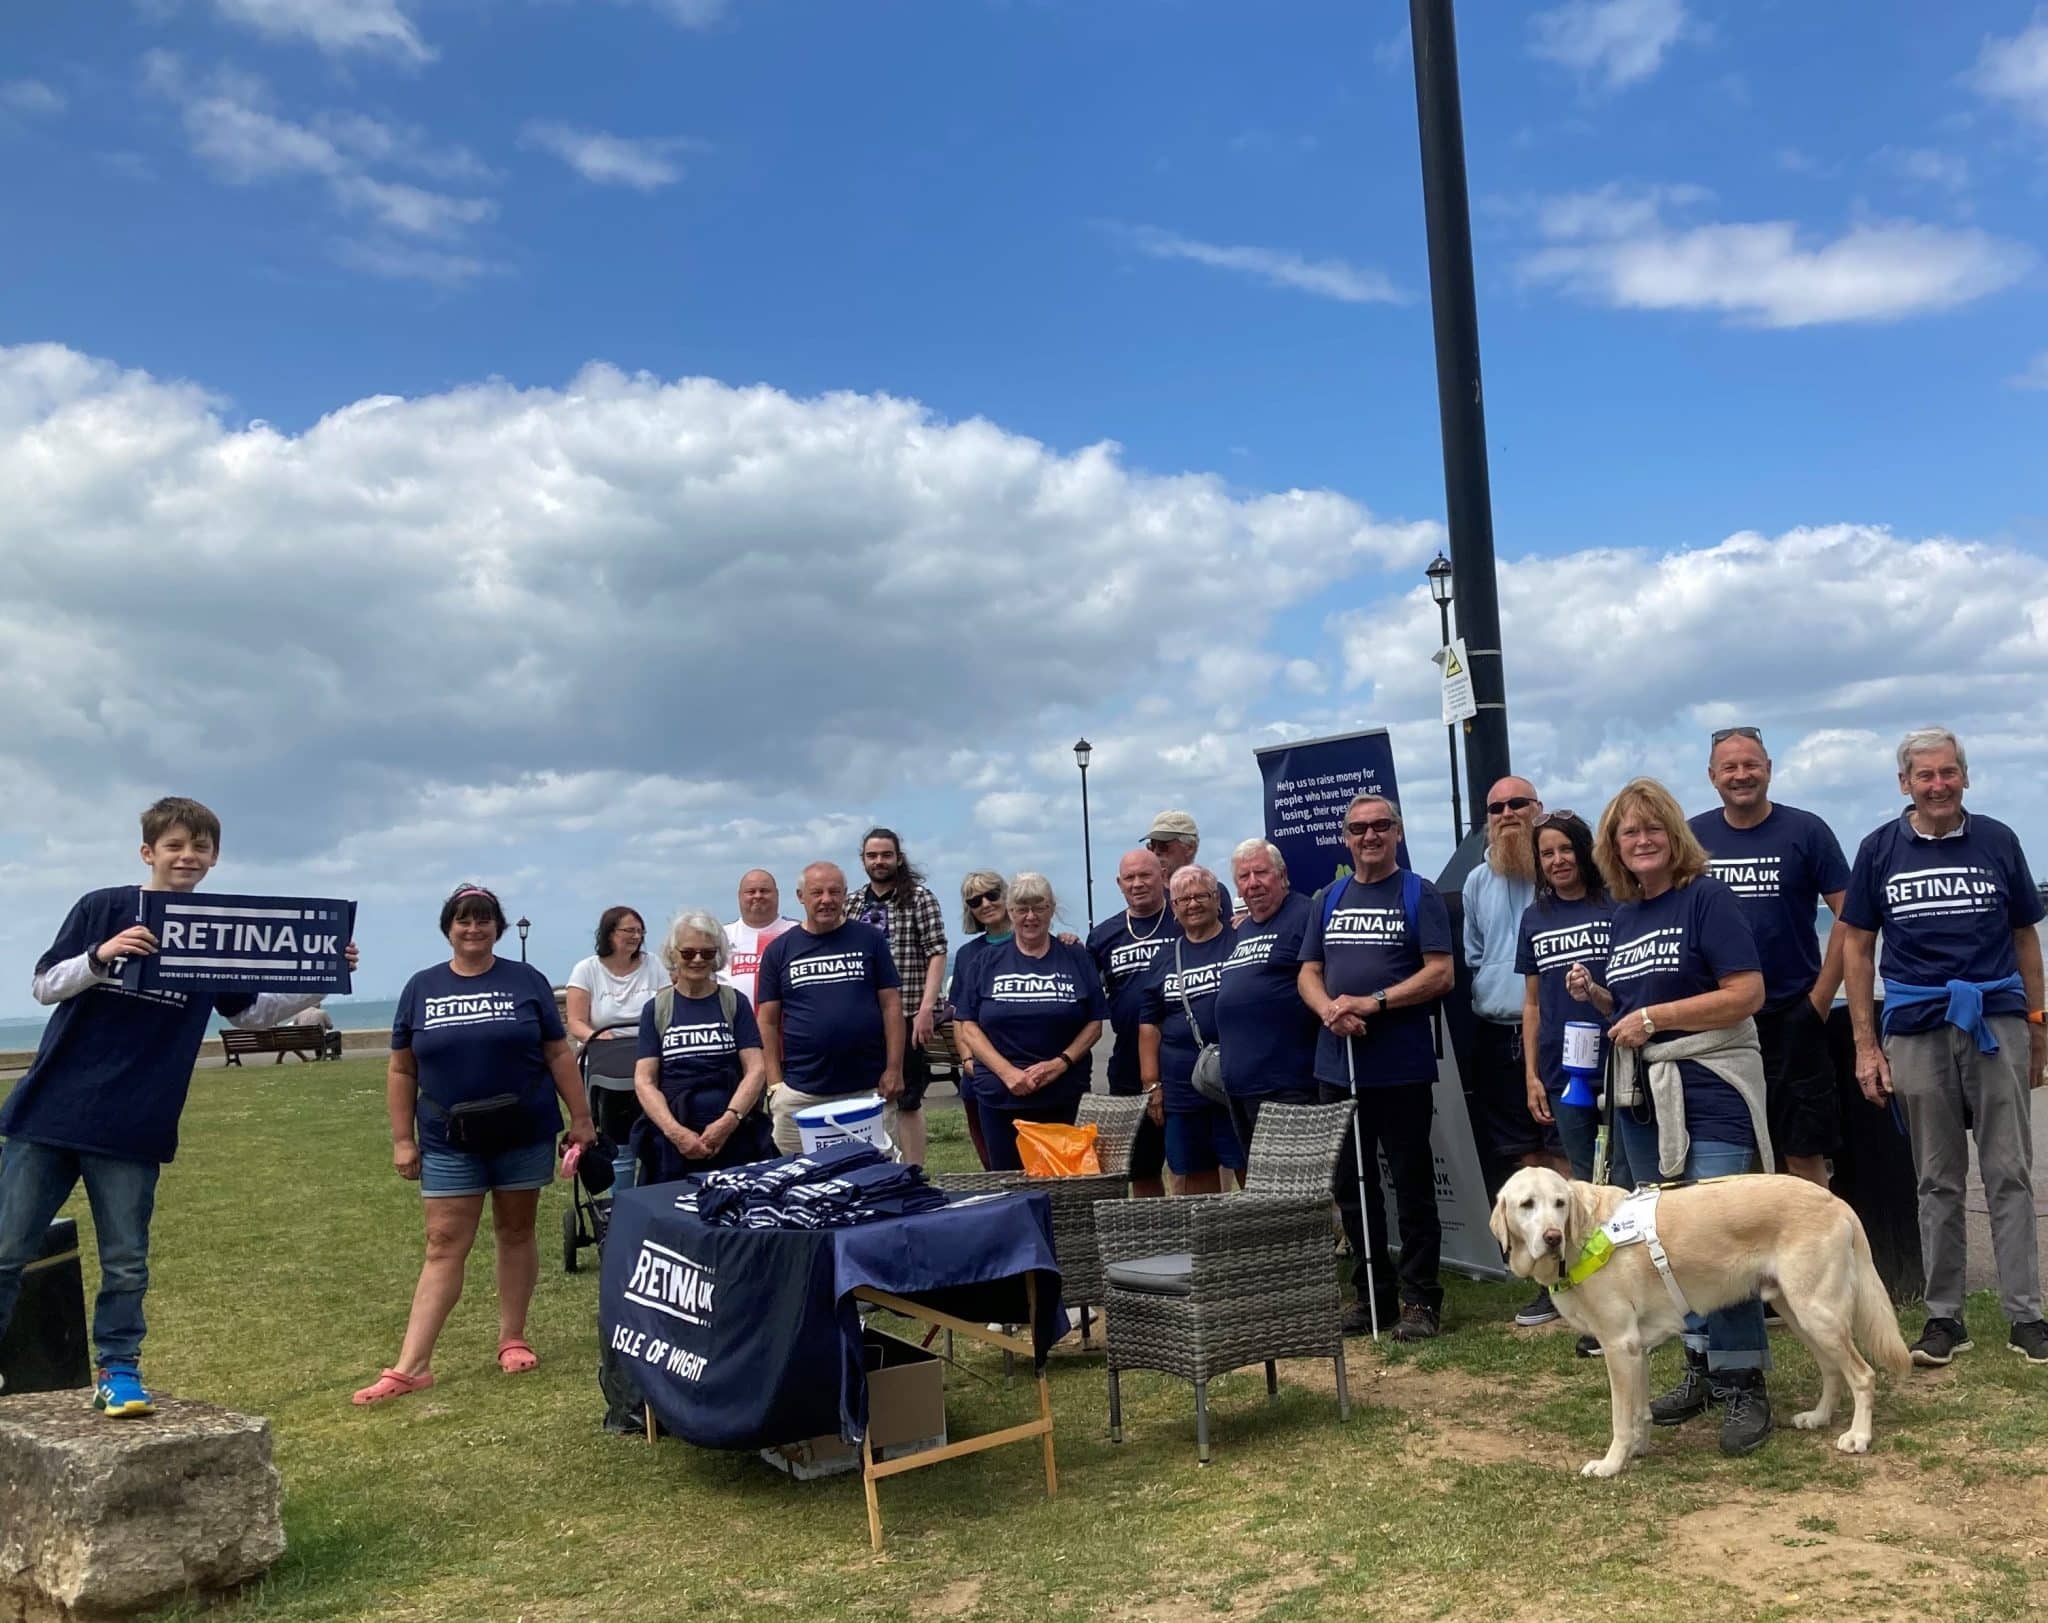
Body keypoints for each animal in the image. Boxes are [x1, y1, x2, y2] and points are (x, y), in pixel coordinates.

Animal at [1490, 1163, 1900, 1483]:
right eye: (1527, 1204)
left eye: (1559, 1204)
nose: (1552, 1236)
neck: (1586, 1233)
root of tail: (1835, 1200)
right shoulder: (1635, 1350)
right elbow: (1639, 1412)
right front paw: (1638, 1449)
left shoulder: (1619, 1345)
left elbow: (1620, 1418)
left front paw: (1611, 1464)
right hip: (1800, 1313)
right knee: (1833, 1369)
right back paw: (1819, 1417)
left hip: (1817, 1313)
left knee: (1862, 1375)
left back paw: (1858, 1436)